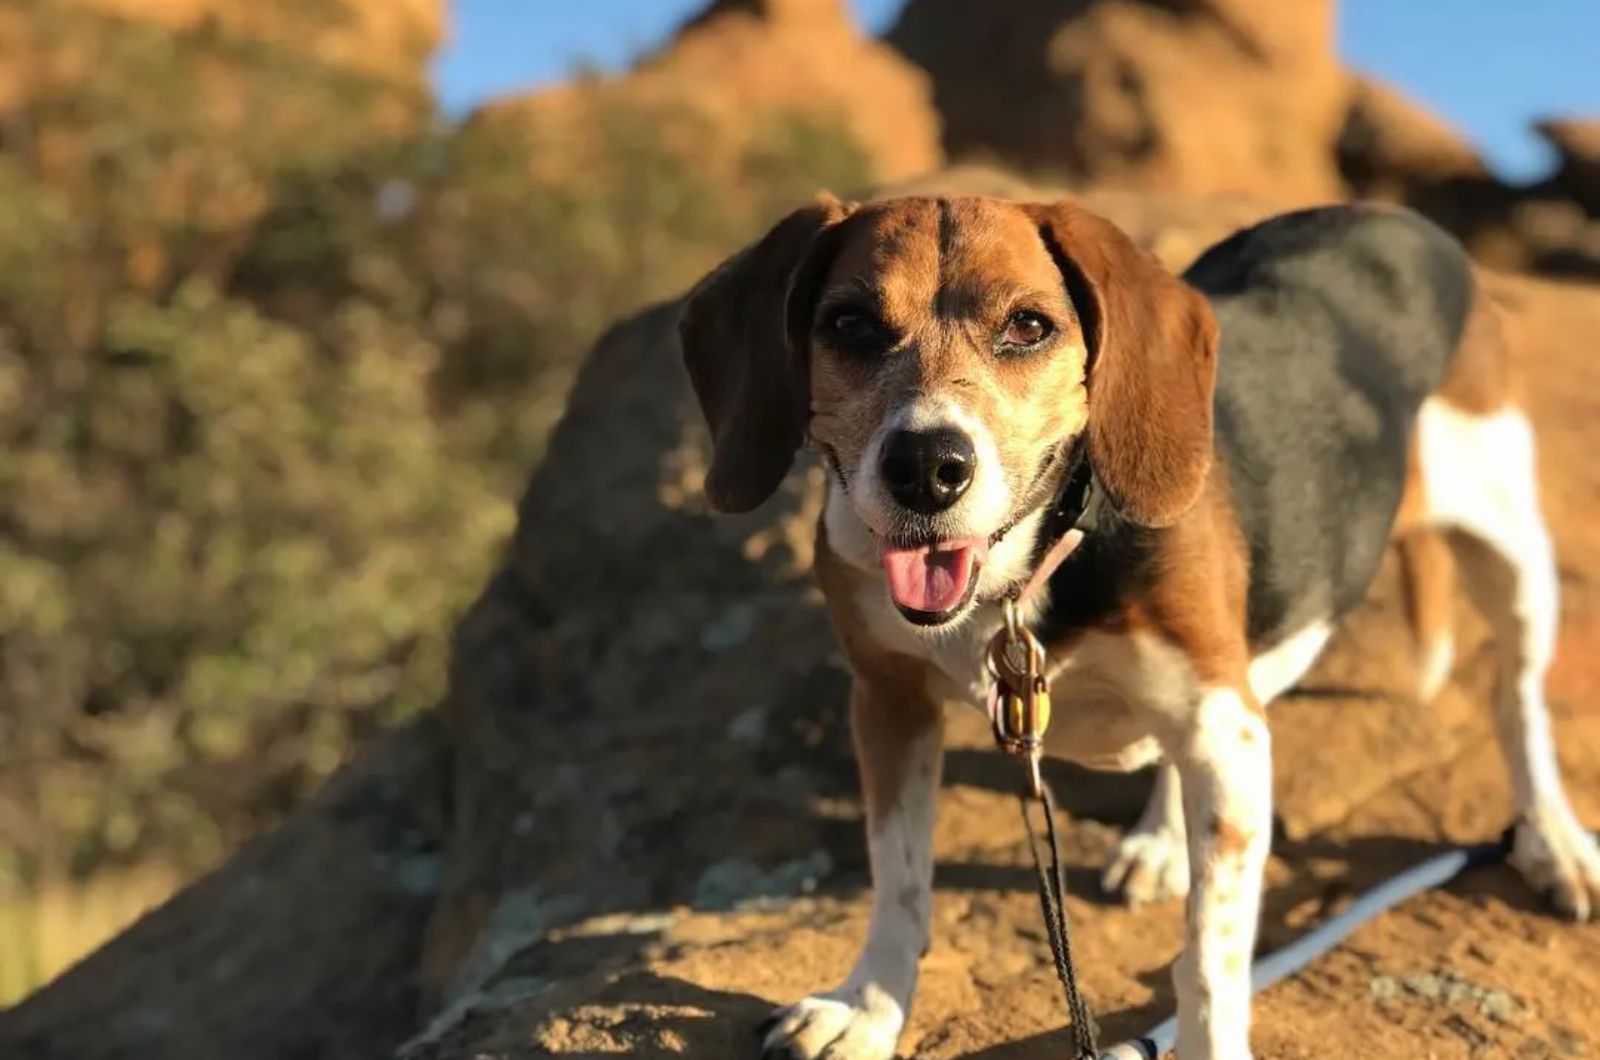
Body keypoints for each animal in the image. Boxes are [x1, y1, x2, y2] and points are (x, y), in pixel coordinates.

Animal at [675, 195, 1600, 1056]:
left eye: (1028, 326)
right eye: (850, 325)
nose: (928, 467)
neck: (1030, 569)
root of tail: (1395, 216)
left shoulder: (1226, 727)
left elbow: (1209, 956)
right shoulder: (888, 699)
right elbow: (898, 881)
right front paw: (868, 1009)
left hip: (1512, 556)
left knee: (1517, 702)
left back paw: (1553, 842)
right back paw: (1161, 836)